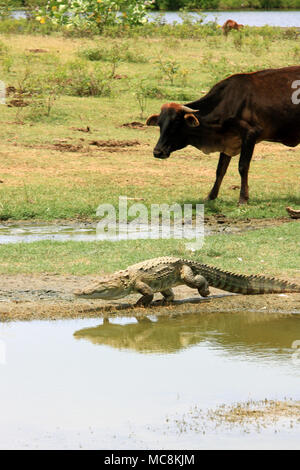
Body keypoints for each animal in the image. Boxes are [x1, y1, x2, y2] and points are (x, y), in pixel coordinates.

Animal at [146, 66, 300, 204]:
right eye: (159, 124)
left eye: (176, 123)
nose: (158, 152)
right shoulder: (227, 141)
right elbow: (220, 170)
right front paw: (210, 196)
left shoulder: (251, 134)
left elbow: (243, 167)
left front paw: (243, 199)